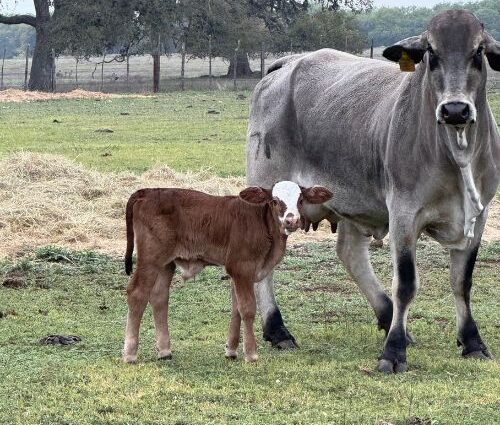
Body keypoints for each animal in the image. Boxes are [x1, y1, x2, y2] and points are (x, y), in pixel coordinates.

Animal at [122, 180, 332, 362]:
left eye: (300, 200)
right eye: (274, 200)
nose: (292, 221)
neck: (263, 224)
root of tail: (148, 191)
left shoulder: (237, 273)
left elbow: (236, 308)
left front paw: (231, 350)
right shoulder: (241, 268)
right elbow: (247, 309)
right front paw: (251, 353)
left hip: (166, 263)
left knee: (159, 297)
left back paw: (164, 351)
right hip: (150, 259)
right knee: (137, 293)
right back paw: (130, 354)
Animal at [247, 9, 500, 372]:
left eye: (478, 52)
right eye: (431, 53)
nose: (455, 110)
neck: (456, 154)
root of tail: (289, 62)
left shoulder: (478, 215)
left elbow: (461, 281)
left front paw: (472, 341)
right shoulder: (404, 213)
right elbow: (406, 283)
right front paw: (393, 352)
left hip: (353, 200)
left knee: (350, 253)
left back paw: (387, 316)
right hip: (269, 193)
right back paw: (277, 329)